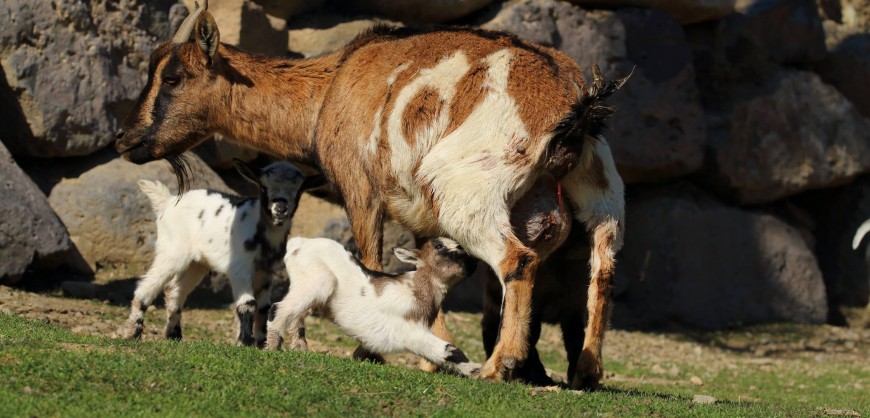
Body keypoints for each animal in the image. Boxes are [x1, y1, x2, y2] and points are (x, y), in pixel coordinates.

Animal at [124, 160, 326, 346]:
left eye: (299, 191)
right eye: (263, 187)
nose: (280, 209)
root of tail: (168, 201)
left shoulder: (265, 272)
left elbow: (263, 307)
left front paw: (261, 343)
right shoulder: (239, 268)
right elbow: (248, 304)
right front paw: (245, 342)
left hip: (196, 263)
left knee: (175, 291)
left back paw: (173, 336)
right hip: (172, 250)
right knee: (147, 285)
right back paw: (132, 333)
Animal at [268, 237, 480, 378]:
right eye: (439, 246)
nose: (473, 261)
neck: (416, 289)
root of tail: (298, 243)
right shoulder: (410, 332)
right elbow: (449, 350)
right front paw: (477, 373)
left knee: (297, 315)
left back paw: (299, 348)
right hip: (318, 281)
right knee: (277, 309)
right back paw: (271, 349)